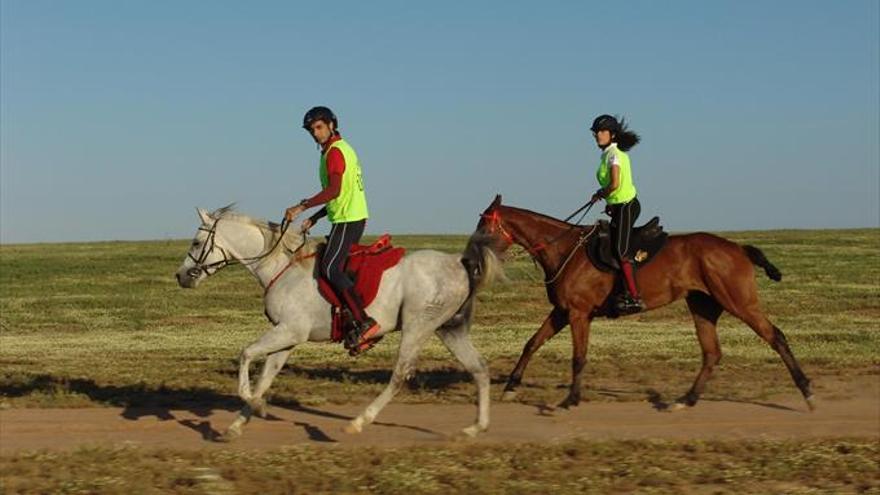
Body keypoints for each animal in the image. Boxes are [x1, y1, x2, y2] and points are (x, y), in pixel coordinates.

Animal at [175, 206, 498, 442]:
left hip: (417, 327)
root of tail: (458, 262)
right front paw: (237, 424)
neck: (282, 267)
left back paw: (358, 422)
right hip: (449, 330)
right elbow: (264, 379)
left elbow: (246, 355)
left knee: (400, 375)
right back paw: (475, 428)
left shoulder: (289, 331)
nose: (181, 276)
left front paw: (258, 406)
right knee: (479, 369)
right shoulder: (286, 339)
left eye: (196, 242)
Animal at [464, 197, 816, 410]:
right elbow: (532, 343)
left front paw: (570, 400)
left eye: (484, 226)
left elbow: (578, 357)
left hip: (739, 301)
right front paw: (511, 386)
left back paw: (808, 393)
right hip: (703, 306)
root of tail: (738, 249)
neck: (564, 250)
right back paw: (686, 400)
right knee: (712, 353)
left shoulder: (578, 314)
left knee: (775, 337)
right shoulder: (563, 312)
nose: (468, 260)